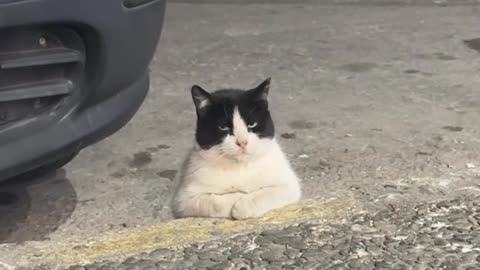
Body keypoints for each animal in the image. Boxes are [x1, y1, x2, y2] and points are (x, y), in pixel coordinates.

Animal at [172, 78, 300, 219]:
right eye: (223, 127)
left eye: (252, 124)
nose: (242, 142)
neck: (240, 167)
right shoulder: (183, 200)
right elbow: (215, 201)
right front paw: (237, 197)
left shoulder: (290, 186)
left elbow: (267, 193)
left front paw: (243, 206)